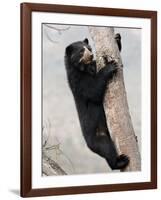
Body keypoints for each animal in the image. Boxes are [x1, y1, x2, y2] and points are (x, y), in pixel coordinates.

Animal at [65, 37, 129, 169]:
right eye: (81, 51)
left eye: (89, 48)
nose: (91, 55)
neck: (84, 68)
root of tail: (88, 145)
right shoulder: (77, 80)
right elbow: (93, 91)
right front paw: (110, 66)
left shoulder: (93, 66)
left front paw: (117, 38)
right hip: (98, 137)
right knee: (106, 148)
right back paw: (120, 162)